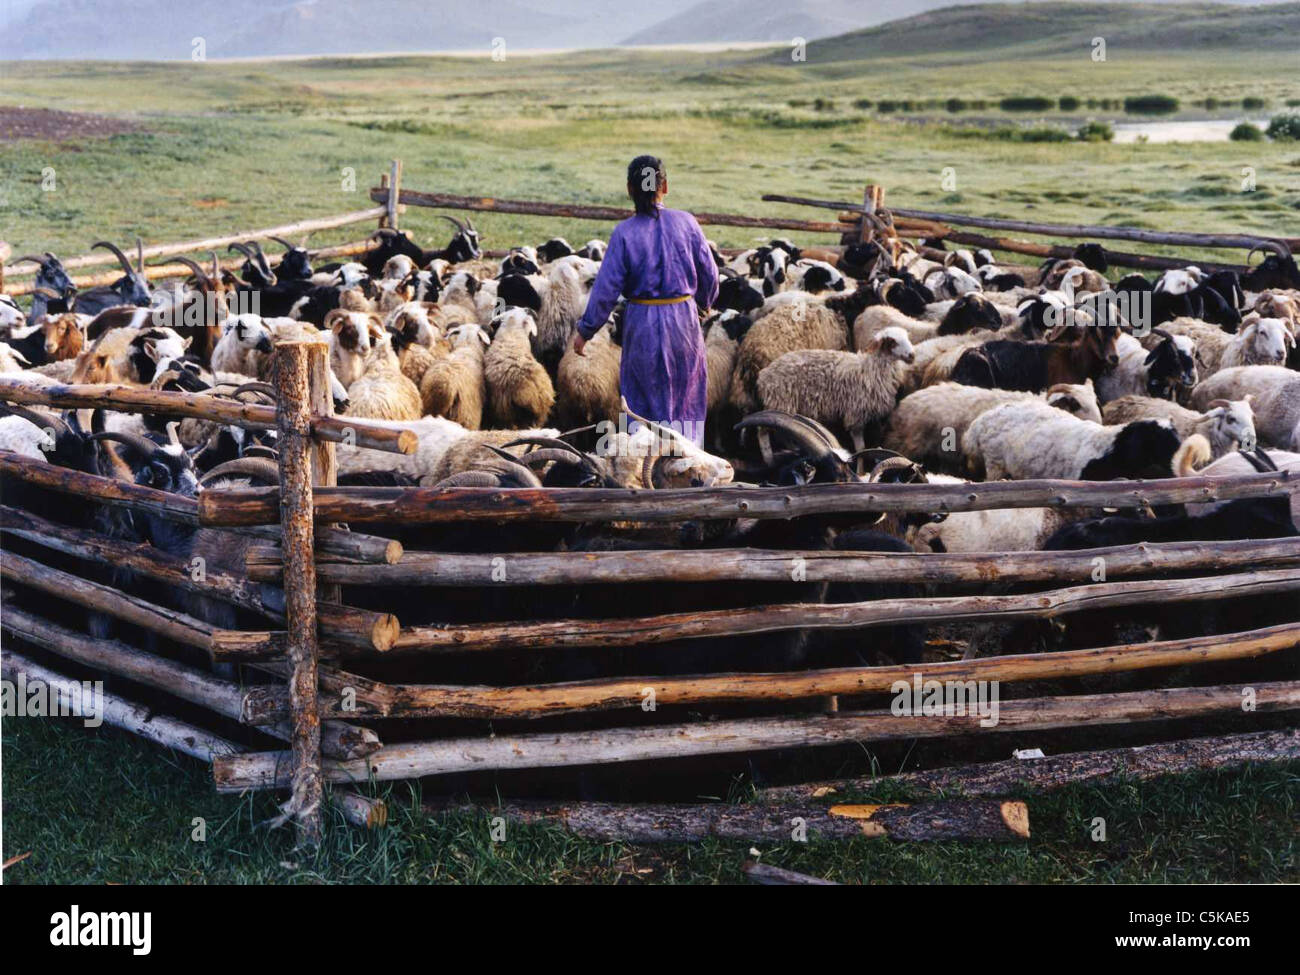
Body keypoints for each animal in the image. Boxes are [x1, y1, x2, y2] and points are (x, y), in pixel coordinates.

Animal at [754, 325, 915, 454]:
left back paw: (792, 448)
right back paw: (769, 457)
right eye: (892, 342)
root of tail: (763, 375)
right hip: (780, 402)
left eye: (907, 337)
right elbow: (860, 447)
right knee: (763, 432)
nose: (912, 356)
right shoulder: (855, 413)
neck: (871, 369)